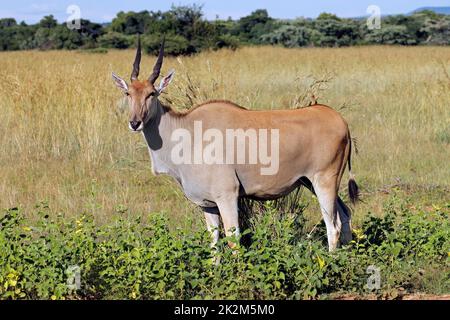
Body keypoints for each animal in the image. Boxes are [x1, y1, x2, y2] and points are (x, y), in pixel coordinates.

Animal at [111, 37, 358, 251]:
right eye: (128, 93)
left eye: (152, 94)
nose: (135, 123)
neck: (189, 132)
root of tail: (340, 120)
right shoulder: (208, 204)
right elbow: (214, 244)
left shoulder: (227, 196)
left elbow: (233, 240)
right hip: (312, 183)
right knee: (346, 216)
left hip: (324, 181)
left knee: (333, 226)